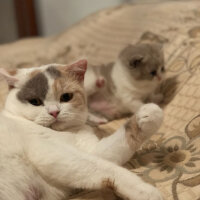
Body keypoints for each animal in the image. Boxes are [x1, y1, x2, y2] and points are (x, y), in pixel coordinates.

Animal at [0, 59, 163, 200]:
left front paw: (150, 114)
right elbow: (105, 168)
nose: (54, 112)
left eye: (66, 97)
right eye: (35, 101)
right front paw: (145, 190)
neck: (66, 132)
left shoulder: (91, 150)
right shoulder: (50, 152)